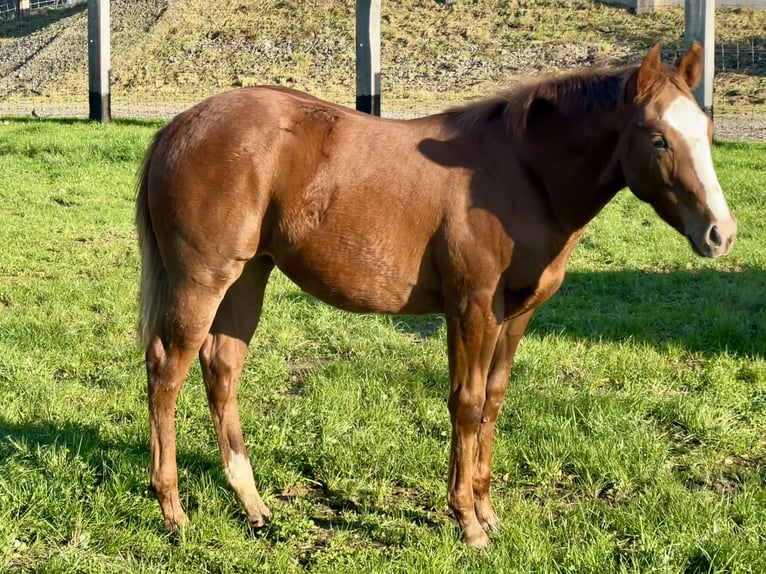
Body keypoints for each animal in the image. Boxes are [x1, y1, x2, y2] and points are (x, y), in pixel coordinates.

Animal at [136, 42, 736, 552]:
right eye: (657, 137)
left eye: (707, 131)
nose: (721, 233)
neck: (519, 175)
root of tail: (179, 126)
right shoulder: (472, 308)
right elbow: (465, 405)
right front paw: (468, 521)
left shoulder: (516, 316)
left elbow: (492, 402)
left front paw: (488, 511)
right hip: (203, 280)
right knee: (167, 373)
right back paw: (172, 511)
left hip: (248, 276)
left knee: (222, 368)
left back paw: (253, 505)